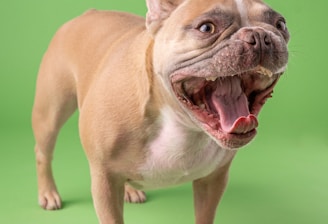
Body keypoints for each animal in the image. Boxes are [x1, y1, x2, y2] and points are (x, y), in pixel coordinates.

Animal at [32, 0, 290, 223]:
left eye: (281, 25)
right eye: (206, 27)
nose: (260, 36)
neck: (180, 123)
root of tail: (88, 13)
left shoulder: (212, 180)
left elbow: (204, 215)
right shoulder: (103, 179)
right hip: (50, 112)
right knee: (43, 152)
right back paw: (48, 194)